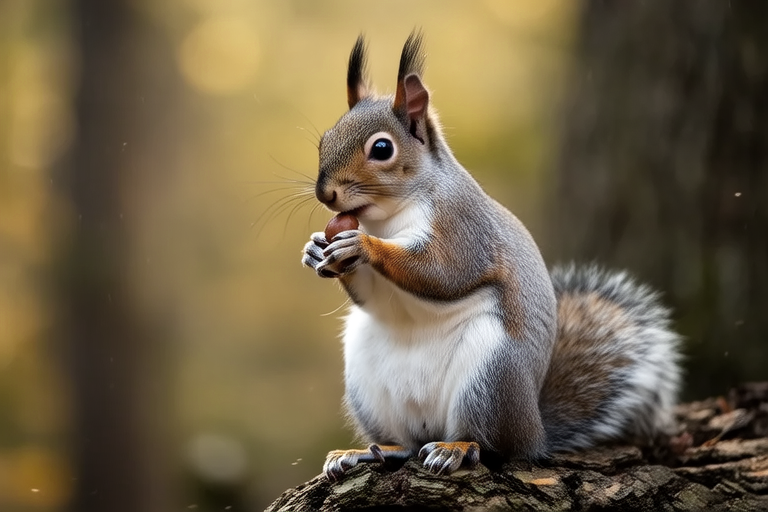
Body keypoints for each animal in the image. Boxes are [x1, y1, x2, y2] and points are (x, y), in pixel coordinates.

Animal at [301, 32, 682, 480]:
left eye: (381, 148)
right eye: (324, 140)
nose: (325, 193)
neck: (387, 217)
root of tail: (535, 430)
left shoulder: (465, 230)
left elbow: (442, 273)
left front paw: (361, 247)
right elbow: (371, 296)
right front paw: (315, 248)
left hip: (490, 375)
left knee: (492, 444)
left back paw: (456, 447)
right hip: (368, 384)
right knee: (407, 444)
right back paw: (366, 451)